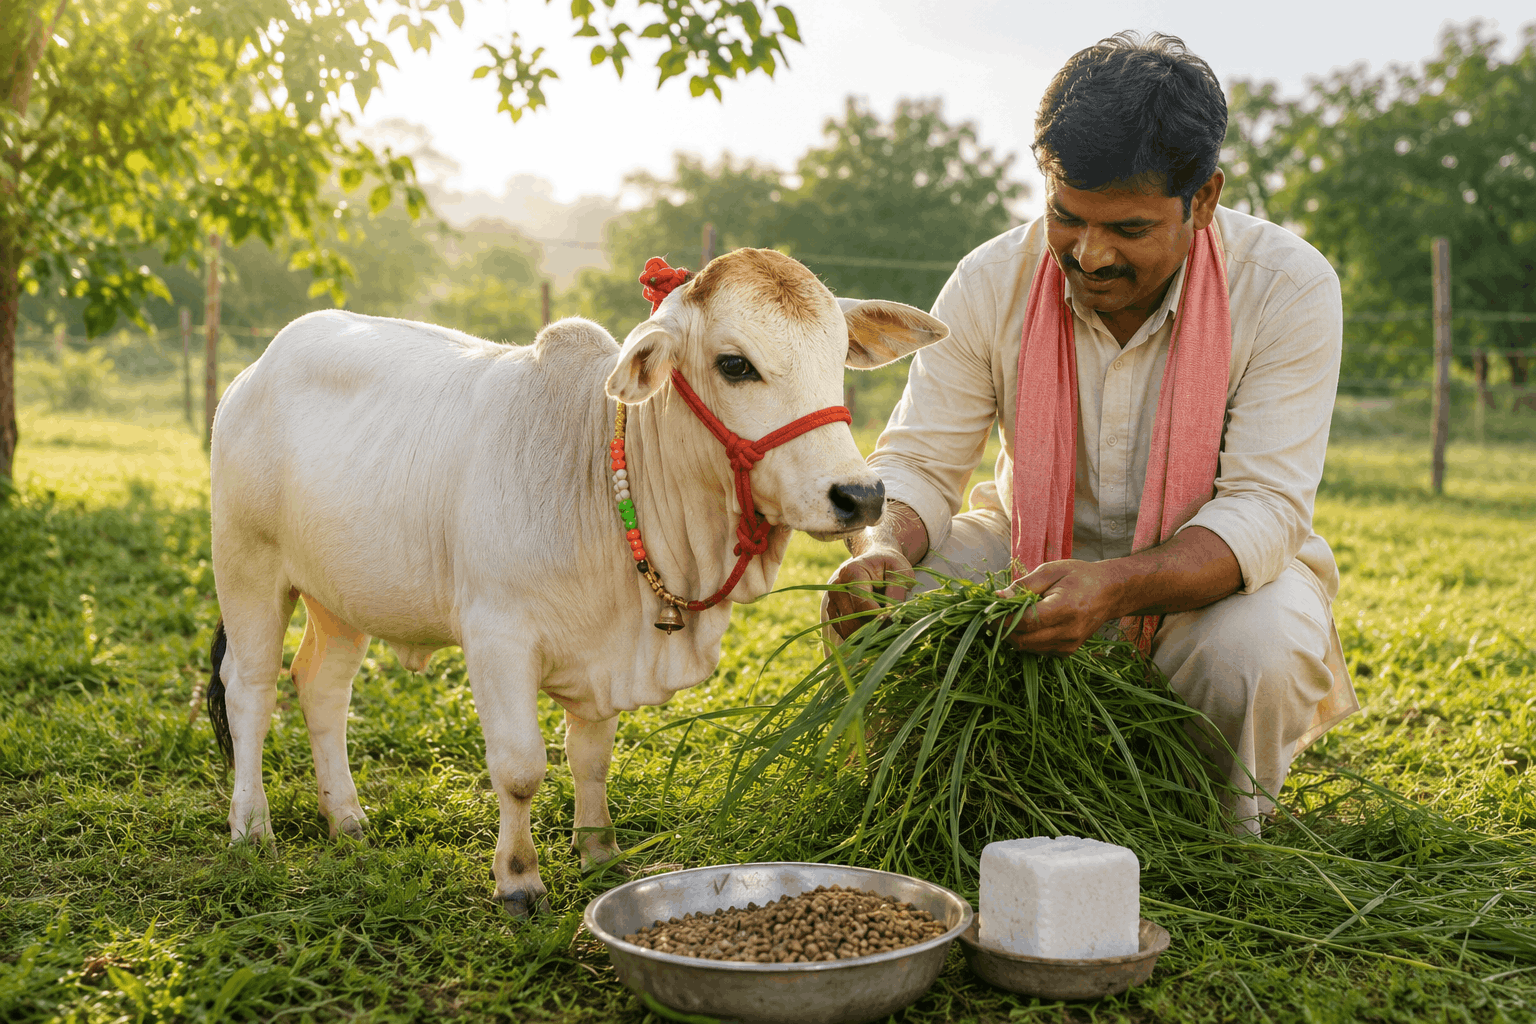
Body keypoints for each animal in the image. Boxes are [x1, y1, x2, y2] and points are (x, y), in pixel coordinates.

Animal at [205, 248, 948, 914]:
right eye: (736, 365)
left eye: (837, 358)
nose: (858, 496)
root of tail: (257, 369)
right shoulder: (497, 638)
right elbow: (521, 766)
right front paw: (518, 880)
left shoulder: (604, 658)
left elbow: (590, 759)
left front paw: (598, 853)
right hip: (247, 566)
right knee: (250, 690)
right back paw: (252, 828)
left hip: (341, 598)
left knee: (321, 688)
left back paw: (348, 820)